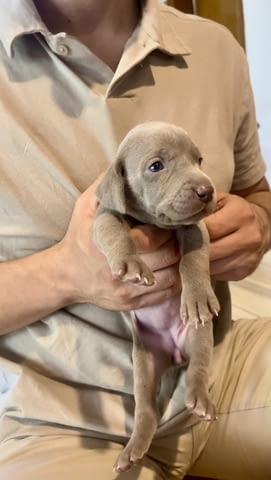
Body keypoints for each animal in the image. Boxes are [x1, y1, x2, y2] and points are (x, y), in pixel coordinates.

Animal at [93, 121, 221, 472]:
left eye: (199, 160)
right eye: (156, 166)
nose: (207, 191)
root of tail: (173, 356)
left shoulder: (194, 226)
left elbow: (194, 256)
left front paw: (196, 296)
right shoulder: (103, 215)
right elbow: (112, 229)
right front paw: (129, 262)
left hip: (199, 337)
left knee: (198, 369)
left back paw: (199, 399)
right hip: (144, 362)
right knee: (146, 410)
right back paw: (132, 450)